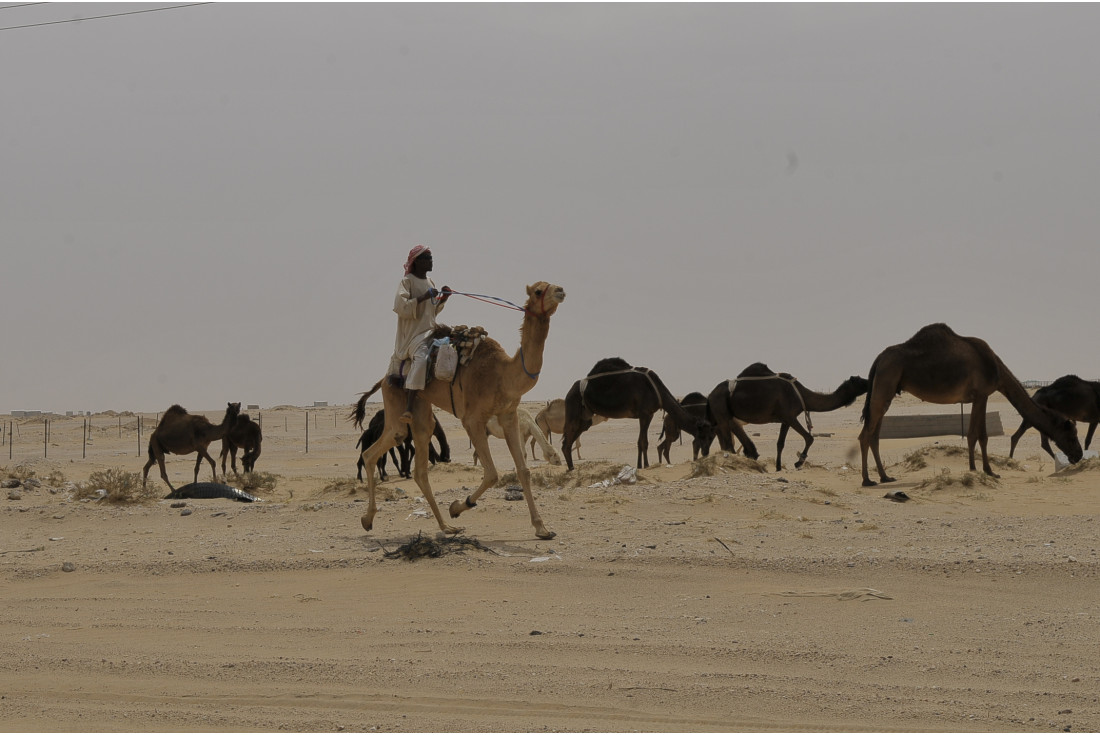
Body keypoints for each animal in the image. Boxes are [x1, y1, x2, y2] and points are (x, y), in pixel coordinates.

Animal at [351, 282, 565, 539]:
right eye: (538, 290)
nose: (560, 290)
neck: (501, 374)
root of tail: (384, 379)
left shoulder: (509, 415)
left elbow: (523, 470)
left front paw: (542, 528)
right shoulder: (472, 419)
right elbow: (491, 473)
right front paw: (457, 507)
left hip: (421, 409)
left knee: (415, 463)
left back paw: (440, 526)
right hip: (395, 401)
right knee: (381, 446)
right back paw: (372, 518)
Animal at [561, 357, 714, 470]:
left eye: (711, 436)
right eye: (703, 435)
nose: (706, 452)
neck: (658, 391)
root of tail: (569, 391)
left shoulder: (647, 414)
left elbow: (641, 441)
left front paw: (640, 465)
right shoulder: (645, 414)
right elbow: (643, 442)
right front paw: (645, 465)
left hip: (585, 418)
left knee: (571, 438)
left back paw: (571, 468)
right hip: (573, 409)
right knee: (566, 442)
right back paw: (571, 469)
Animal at [708, 364, 870, 471]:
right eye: (861, 381)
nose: (870, 381)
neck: (802, 395)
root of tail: (710, 394)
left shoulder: (785, 420)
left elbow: (780, 443)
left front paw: (778, 467)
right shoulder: (790, 416)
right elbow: (809, 437)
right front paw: (799, 462)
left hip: (724, 416)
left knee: (724, 437)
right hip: (721, 410)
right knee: (727, 441)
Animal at [859, 323, 1083, 486]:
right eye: (1071, 436)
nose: (1079, 455)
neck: (998, 370)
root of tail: (879, 358)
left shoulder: (975, 397)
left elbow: (972, 434)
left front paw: (974, 468)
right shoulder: (982, 394)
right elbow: (981, 435)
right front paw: (990, 471)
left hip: (886, 390)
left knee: (874, 435)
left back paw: (885, 477)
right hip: (885, 382)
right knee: (865, 435)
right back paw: (867, 480)